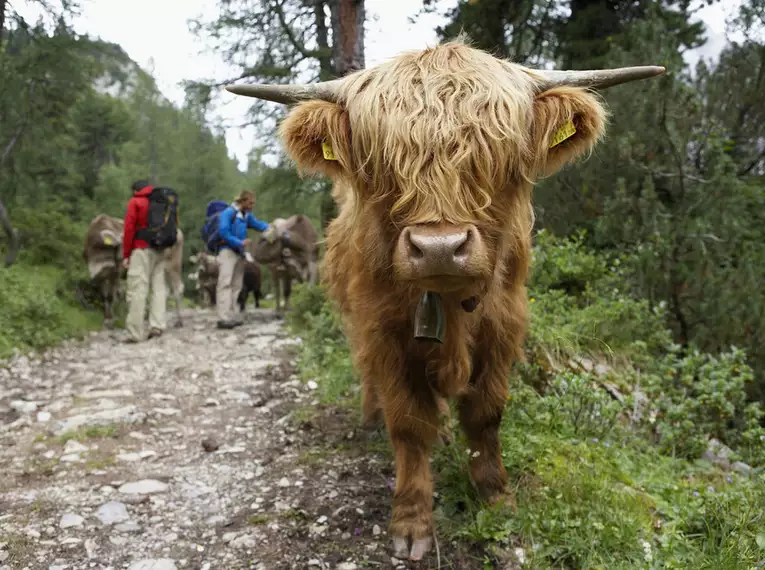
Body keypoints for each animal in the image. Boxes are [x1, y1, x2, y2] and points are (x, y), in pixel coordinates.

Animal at [227, 40, 664, 560]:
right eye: (381, 161)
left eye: (498, 153)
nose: (439, 247)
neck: (451, 305)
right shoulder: (384, 331)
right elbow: (409, 425)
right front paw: (412, 521)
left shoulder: (504, 324)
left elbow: (487, 415)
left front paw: (497, 495)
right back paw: (371, 417)